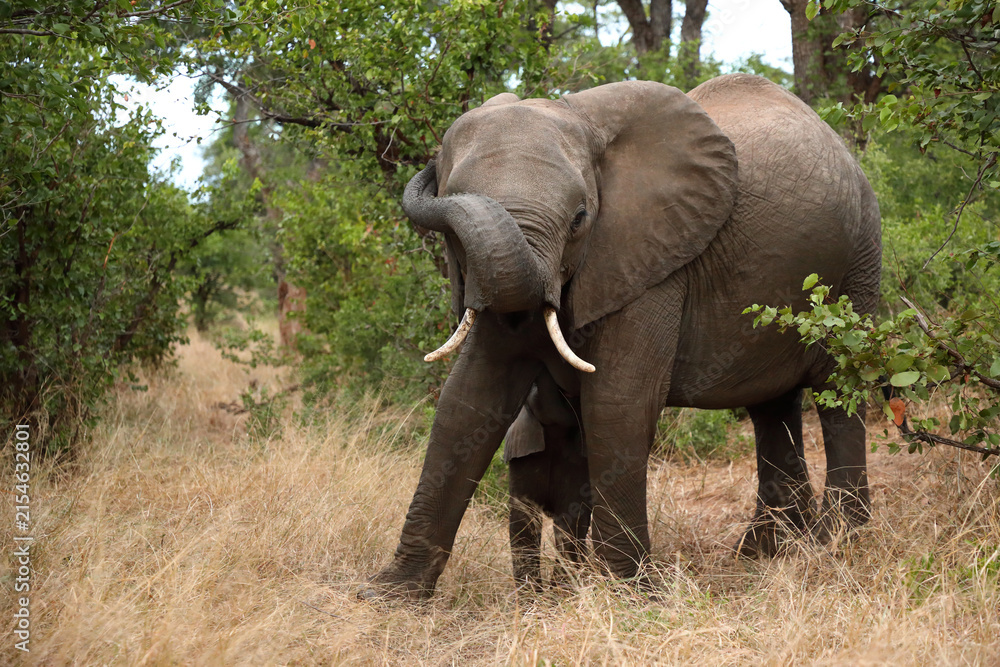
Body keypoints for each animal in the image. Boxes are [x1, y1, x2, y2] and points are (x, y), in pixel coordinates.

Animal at [504, 374, 591, 589]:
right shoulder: (523, 451)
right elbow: (523, 516)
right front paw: (533, 596)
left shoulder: (579, 460)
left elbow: (571, 519)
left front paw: (559, 593)